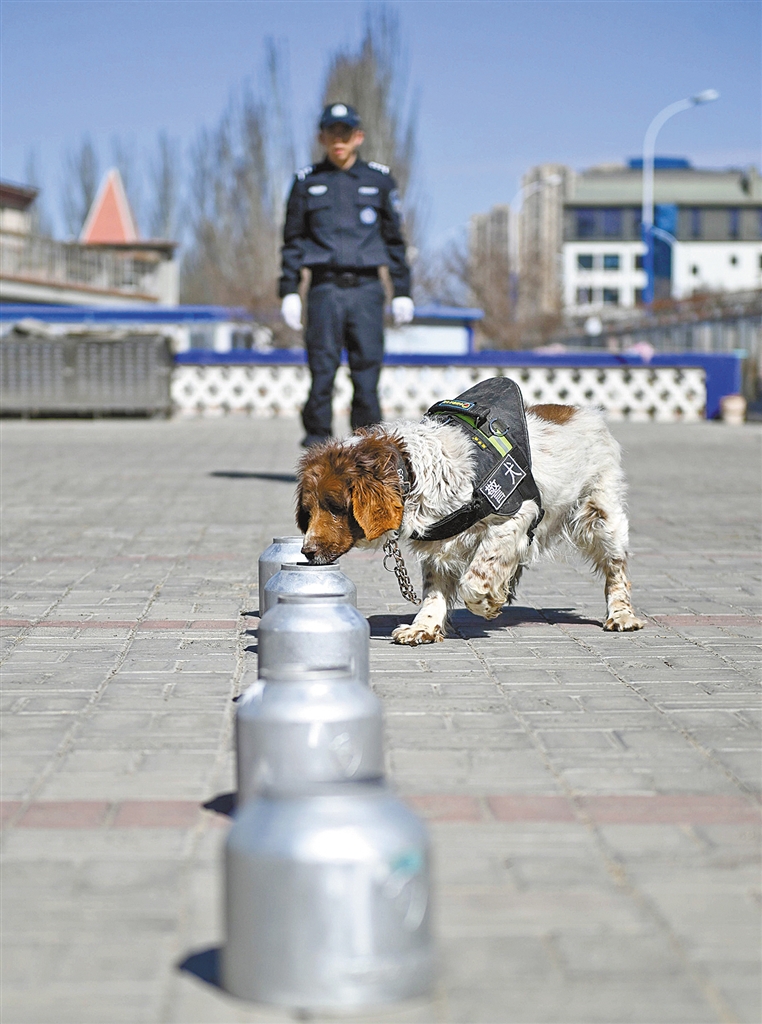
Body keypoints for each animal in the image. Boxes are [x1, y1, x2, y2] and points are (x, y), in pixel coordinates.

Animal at [296, 398, 645, 645]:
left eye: (336, 507)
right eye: (308, 510)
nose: (307, 552)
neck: (413, 472)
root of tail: (582, 410)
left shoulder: (517, 516)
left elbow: (474, 580)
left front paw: (487, 604)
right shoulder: (440, 540)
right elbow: (434, 591)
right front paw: (424, 627)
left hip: (601, 516)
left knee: (616, 570)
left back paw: (622, 615)